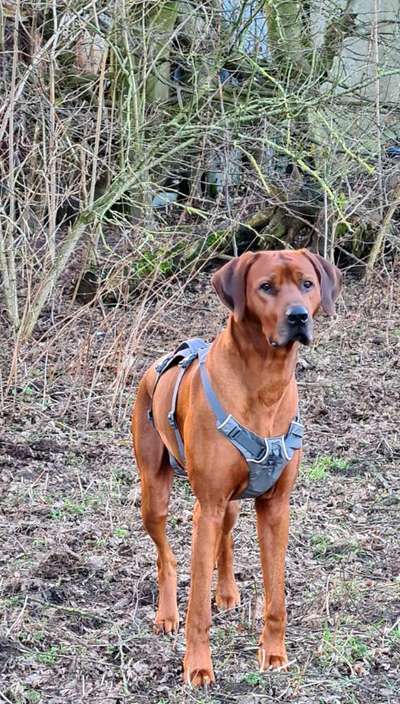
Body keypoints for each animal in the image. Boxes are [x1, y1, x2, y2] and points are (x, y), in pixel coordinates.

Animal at [133, 250, 342, 684]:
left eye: (307, 284)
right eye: (266, 287)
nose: (299, 316)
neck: (265, 380)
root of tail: (154, 364)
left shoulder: (276, 506)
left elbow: (276, 594)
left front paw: (274, 654)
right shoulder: (207, 506)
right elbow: (197, 607)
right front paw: (197, 666)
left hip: (227, 504)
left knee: (225, 539)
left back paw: (226, 592)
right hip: (154, 494)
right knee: (167, 556)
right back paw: (166, 613)